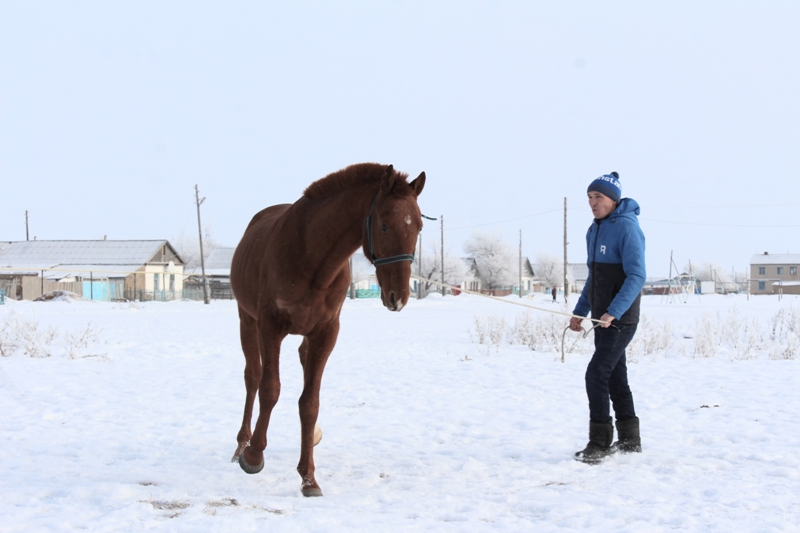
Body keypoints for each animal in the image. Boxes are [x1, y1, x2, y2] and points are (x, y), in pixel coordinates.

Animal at [228, 161, 424, 494]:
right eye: (385, 225)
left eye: (419, 226)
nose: (398, 296)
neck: (312, 259)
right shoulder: (270, 327)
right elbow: (269, 388)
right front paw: (254, 455)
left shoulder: (325, 333)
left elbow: (310, 402)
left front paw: (308, 477)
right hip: (247, 321)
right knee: (252, 377)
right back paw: (242, 444)